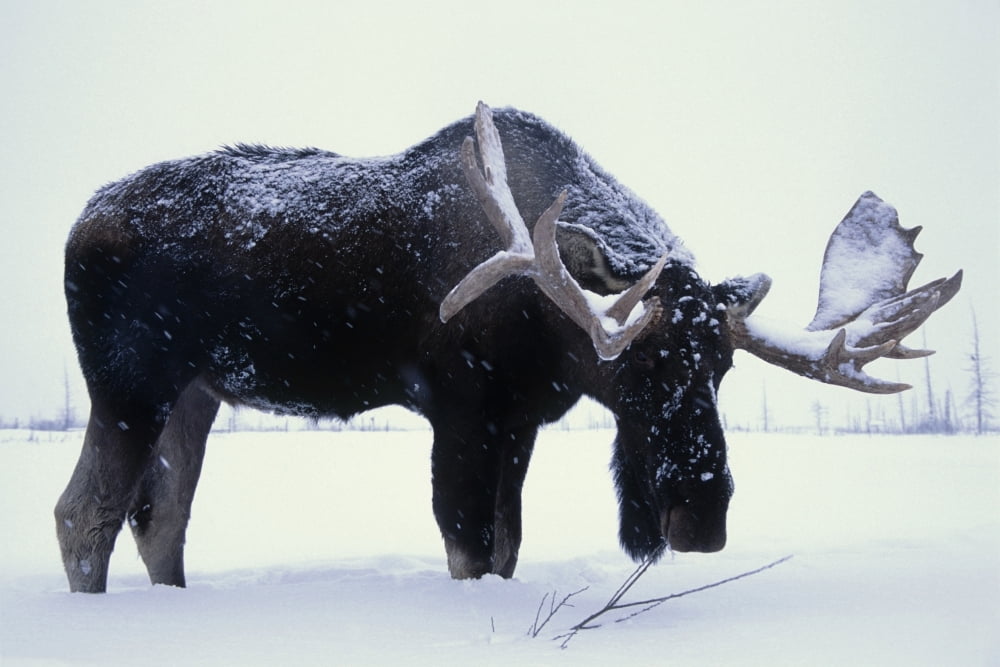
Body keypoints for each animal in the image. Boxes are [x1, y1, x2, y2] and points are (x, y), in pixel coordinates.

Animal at [57, 102, 961, 592]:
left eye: (722, 363)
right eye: (634, 359)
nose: (700, 514)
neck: (549, 323)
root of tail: (77, 226)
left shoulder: (520, 417)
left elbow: (507, 544)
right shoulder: (460, 406)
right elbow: (466, 541)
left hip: (197, 391)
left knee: (160, 517)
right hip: (128, 385)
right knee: (85, 513)